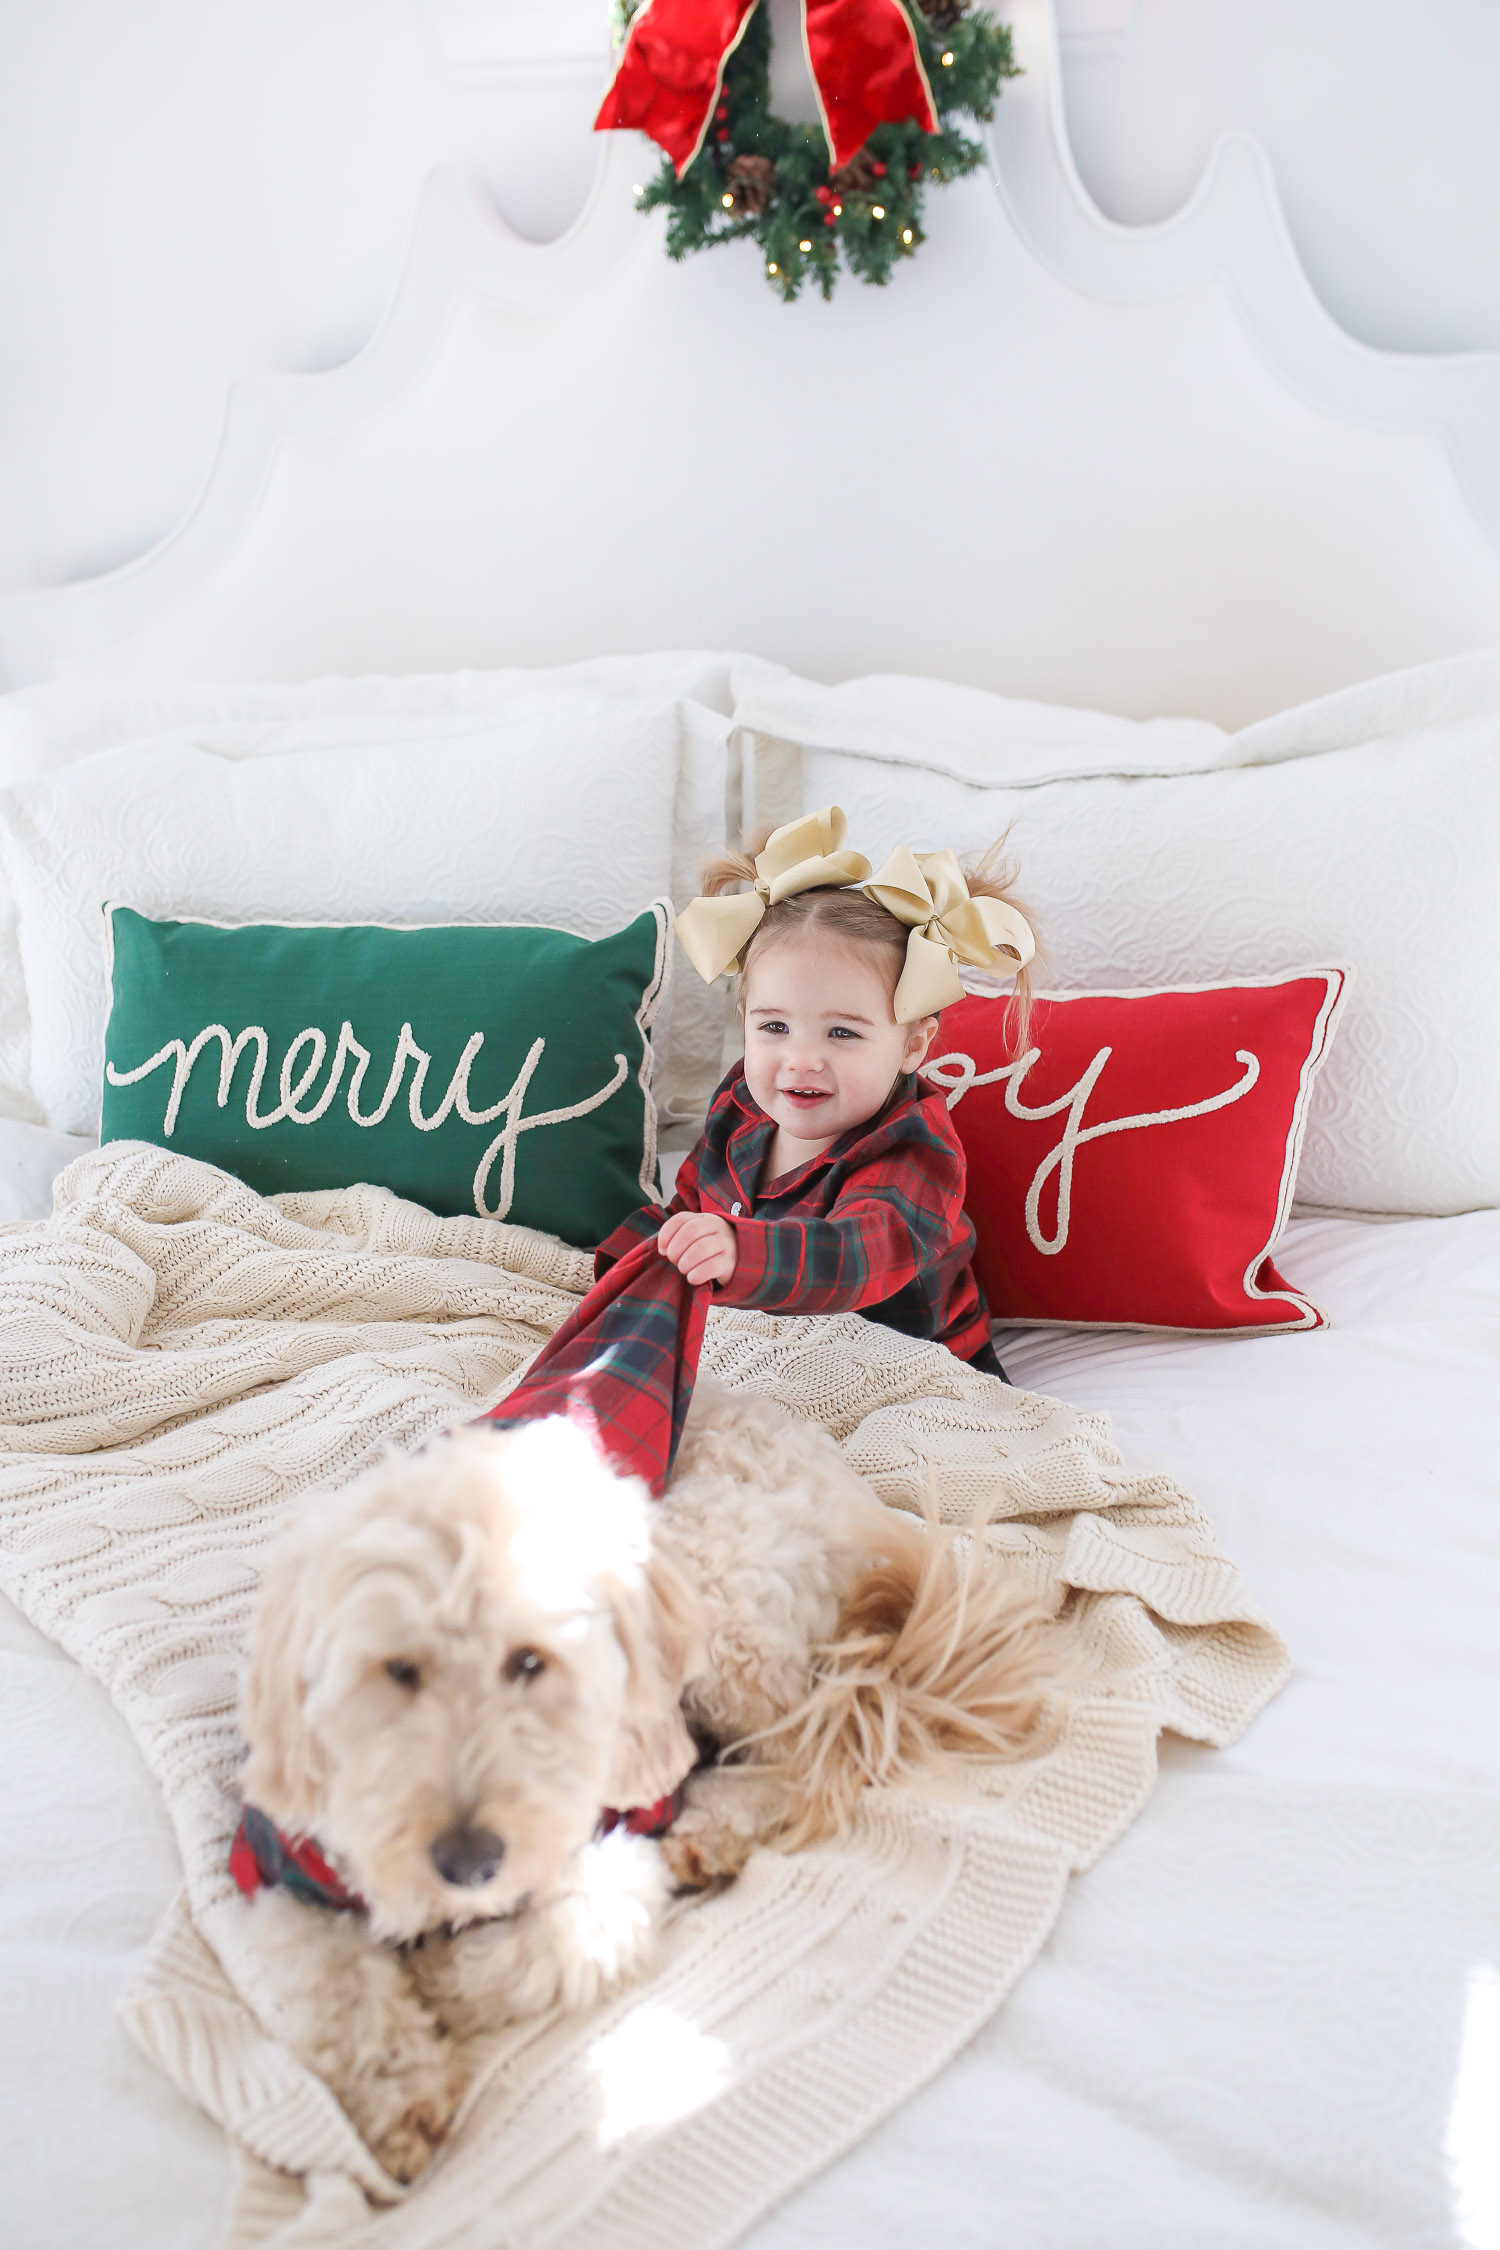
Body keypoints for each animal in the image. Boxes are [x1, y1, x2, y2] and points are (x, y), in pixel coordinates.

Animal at [235, 1386, 1061, 2178]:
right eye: (398, 1670)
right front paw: (398, 2099)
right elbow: (337, 1989)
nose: (470, 1861)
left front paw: (438, 1973)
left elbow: (539, 1951)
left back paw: (711, 1830)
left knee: (800, 1750)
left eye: (532, 1662)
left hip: (715, 1598)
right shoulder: (285, 1883)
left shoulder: (614, 1851)